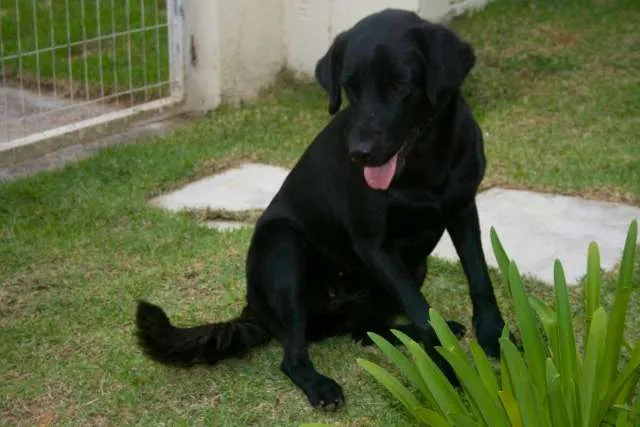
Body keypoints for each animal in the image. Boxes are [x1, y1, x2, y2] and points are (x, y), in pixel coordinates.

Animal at [138, 9, 508, 412]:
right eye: (350, 87)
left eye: (400, 84)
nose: (359, 154)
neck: (425, 162)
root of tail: (252, 309)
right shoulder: (373, 244)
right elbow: (421, 309)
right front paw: (452, 371)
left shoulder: (463, 210)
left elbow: (478, 280)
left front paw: (495, 339)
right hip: (283, 249)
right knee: (293, 355)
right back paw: (320, 386)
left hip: (413, 266)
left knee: (365, 330)